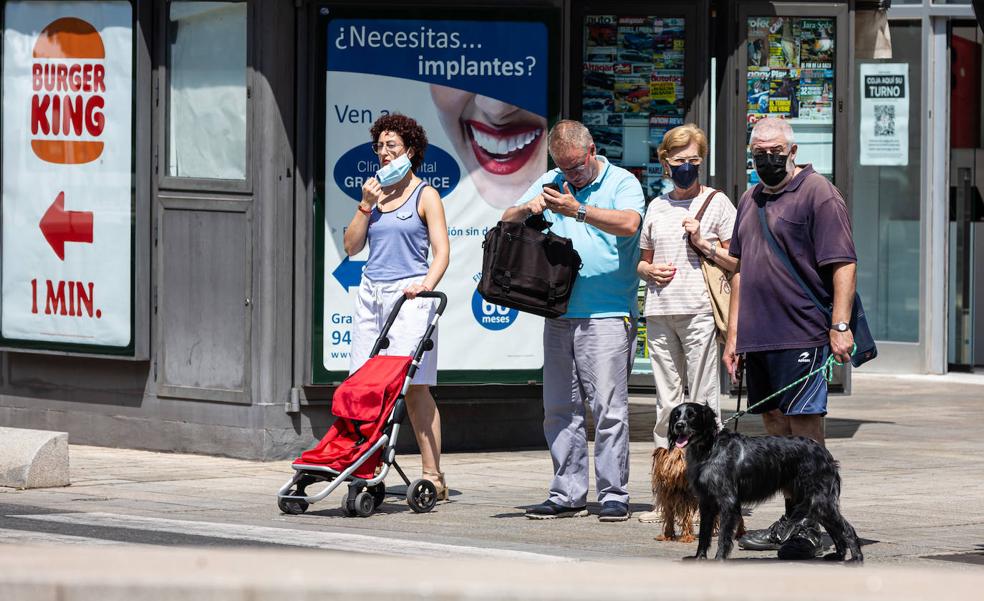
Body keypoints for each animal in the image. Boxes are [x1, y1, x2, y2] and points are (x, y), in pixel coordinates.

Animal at [668, 404, 860, 564]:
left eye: (692, 415)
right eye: (676, 415)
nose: (679, 425)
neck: (709, 448)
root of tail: (825, 454)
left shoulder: (728, 502)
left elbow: (723, 537)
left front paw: (719, 560)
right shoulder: (706, 502)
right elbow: (704, 535)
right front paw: (698, 558)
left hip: (820, 501)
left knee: (847, 529)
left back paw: (857, 558)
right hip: (816, 503)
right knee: (835, 530)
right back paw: (838, 555)